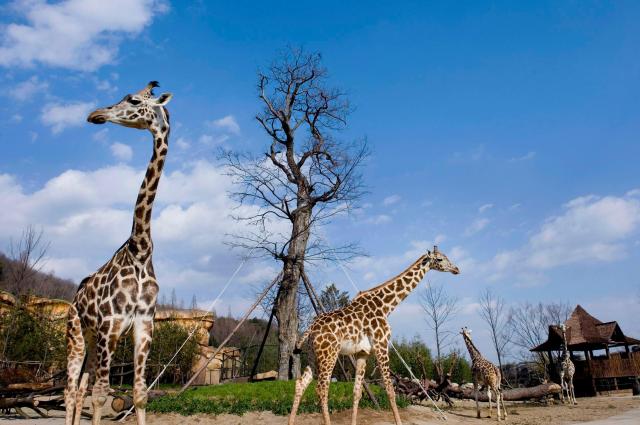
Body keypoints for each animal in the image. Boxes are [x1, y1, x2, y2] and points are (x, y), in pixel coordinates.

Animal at [64, 82, 172, 424]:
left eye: (134, 100)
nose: (95, 114)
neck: (141, 250)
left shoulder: (144, 325)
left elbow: (139, 394)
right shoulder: (110, 324)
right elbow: (100, 396)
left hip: (91, 340)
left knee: (79, 390)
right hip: (77, 335)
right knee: (70, 391)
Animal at [288, 245, 460, 424]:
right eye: (440, 259)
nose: (456, 269)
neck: (386, 306)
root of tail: (311, 328)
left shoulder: (363, 353)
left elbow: (357, 392)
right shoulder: (381, 344)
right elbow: (390, 389)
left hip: (313, 355)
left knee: (300, 384)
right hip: (329, 354)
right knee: (321, 388)